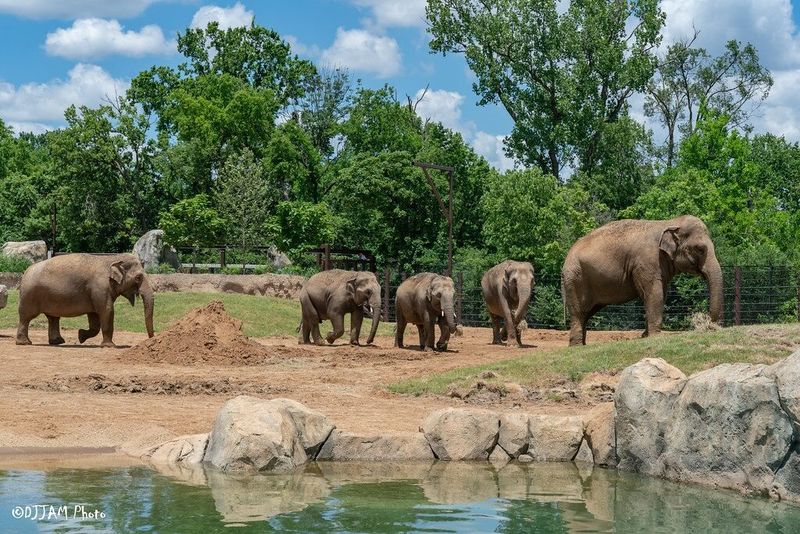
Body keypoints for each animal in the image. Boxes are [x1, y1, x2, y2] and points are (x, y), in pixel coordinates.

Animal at [16, 253, 155, 347]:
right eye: (138, 277)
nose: (150, 340)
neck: (112, 258)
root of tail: (25, 272)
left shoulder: (95, 294)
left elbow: (94, 319)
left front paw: (80, 336)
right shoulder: (100, 288)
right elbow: (107, 310)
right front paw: (110, 346)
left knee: (53, 318)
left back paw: (57, 342)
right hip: (29, 294)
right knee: (26, 316)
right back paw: (24, 343)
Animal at [562, 215, 723, 346]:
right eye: (700, 249)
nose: (710, 326)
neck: (670, 222)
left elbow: (658, 294)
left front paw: (645, 336)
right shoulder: (647, 261)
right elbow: (654, 293)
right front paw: (654, 336)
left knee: (586, 313)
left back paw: (582, 345)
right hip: (576, 279)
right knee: (578, 312)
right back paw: (577, 347)